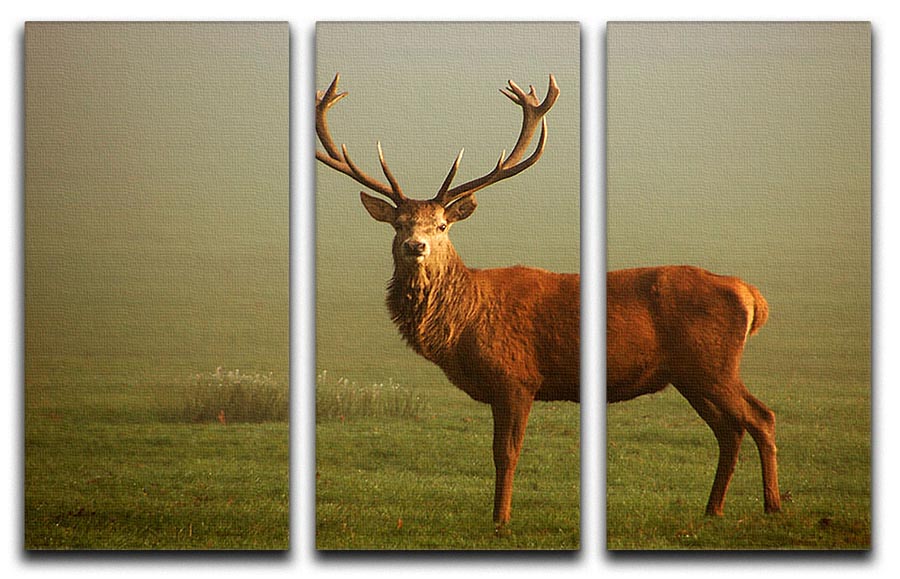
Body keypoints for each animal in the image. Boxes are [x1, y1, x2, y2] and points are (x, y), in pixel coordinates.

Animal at [316, 73, 579, 529]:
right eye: (398, 223)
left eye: (441, 224)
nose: (416, 246)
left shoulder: (515, 381)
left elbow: (505, 454)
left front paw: (500, 520)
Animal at [607, 265, 782, 515]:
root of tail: (753, 298)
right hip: (692, 381)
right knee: (731, 429)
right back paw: (714, 507)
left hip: (712, 372)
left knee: (760, 415)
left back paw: (772, 505)